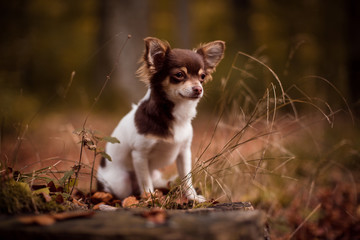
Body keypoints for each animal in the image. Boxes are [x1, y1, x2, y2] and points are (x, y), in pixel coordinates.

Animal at [96, 36, 225, 202]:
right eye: (179, 74)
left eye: (202, 77)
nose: (198, 89)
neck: (177, 113)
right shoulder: (140, 154)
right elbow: (145, 181)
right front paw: (150, 198)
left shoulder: (184, 151)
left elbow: (186, 178)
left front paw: (193, 197)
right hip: (122, 181)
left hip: (155, 173)